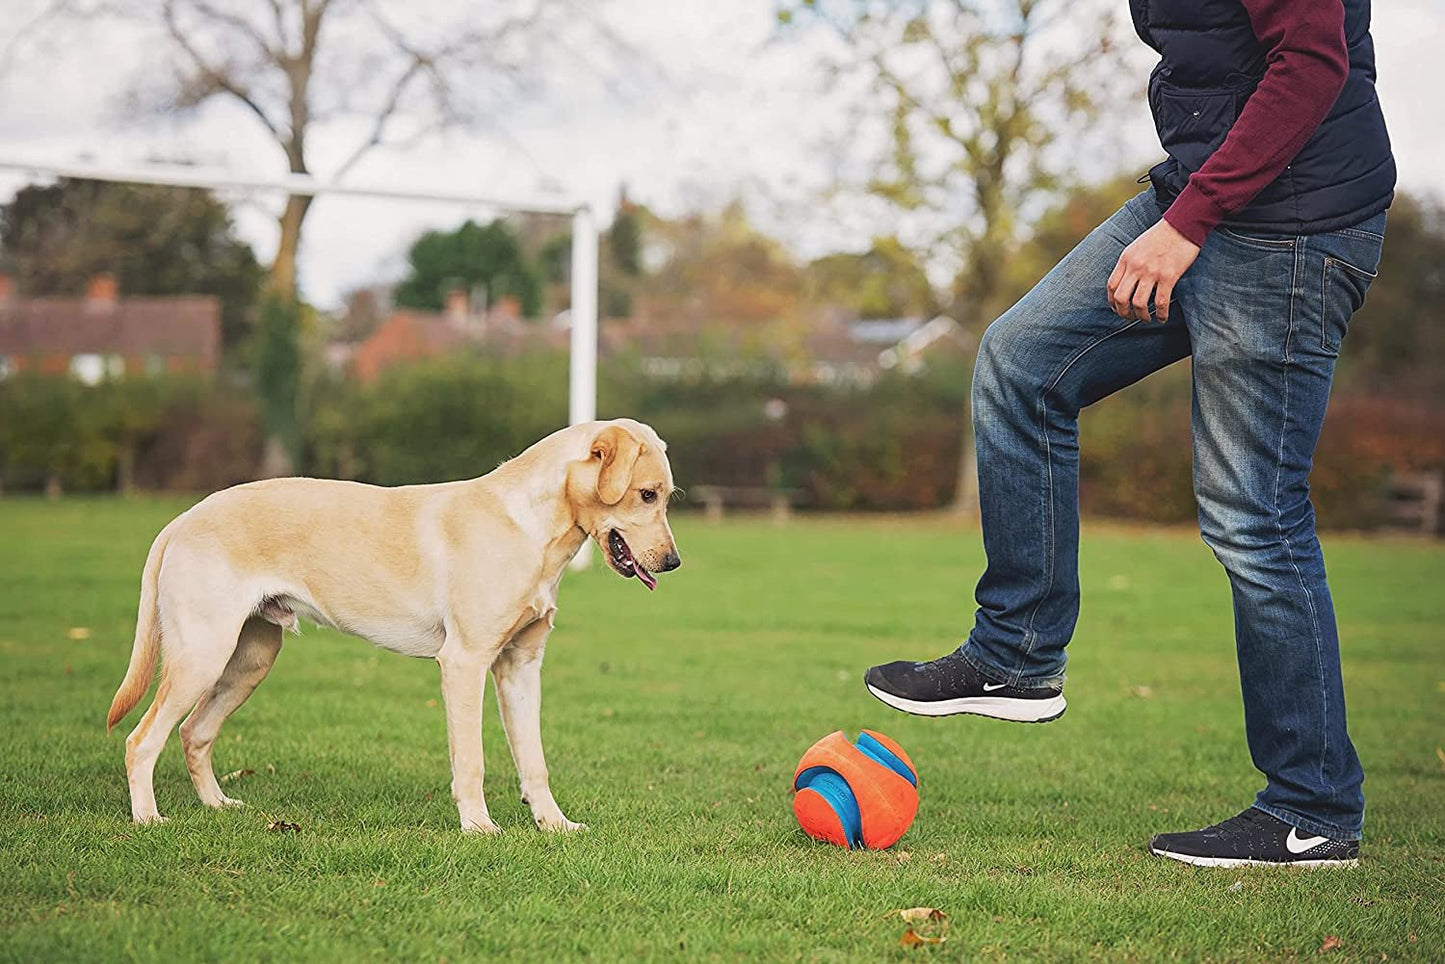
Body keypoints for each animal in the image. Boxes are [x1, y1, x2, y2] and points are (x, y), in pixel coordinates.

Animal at [106, 419, 682, 832]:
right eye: (647, 494)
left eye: (665, 495)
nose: (674, 562)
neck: (529, 526)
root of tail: (182, 518)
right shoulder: (465, 663)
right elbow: (471, 760)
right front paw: (479, 827)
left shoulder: (520, 666)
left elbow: (534, 761)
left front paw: (554, 824)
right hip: (202, 656)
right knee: (142, 739)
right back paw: (148, 819)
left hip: (249, 660)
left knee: (193, 733)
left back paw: (217, 806)